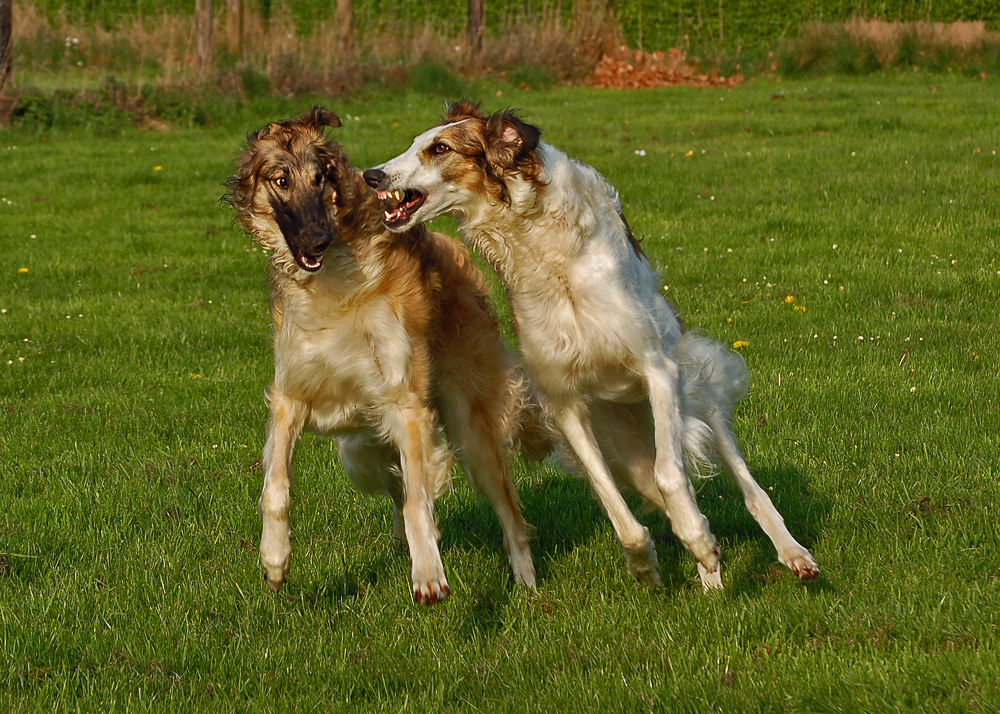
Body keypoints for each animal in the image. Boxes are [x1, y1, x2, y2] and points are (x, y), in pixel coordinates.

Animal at [226, 108, 540, 604]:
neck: (335, 281)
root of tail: (454, 251)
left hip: (470, 428)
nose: (317, 240)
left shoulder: (405, 401)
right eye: (280, 180)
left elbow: (418, 501)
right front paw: (274, 559)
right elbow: (276, 485)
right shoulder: (291, 394)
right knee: (395, 485)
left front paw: (428, 573)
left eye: (322, 177)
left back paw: (525, 580)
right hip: (358, 453)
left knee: (503, 508)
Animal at [364, 101, 816, 588]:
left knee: (743, 485)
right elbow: (615, 504)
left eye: (440, 148)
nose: (371, 175)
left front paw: (698, 541)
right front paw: (647, 562)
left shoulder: (658, 369)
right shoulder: (565, 404)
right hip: (627, 452)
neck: (550, 257)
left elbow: (672, 475)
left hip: (699, 396)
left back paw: (788, 553)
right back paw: (709, 575)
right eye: (414, 143)